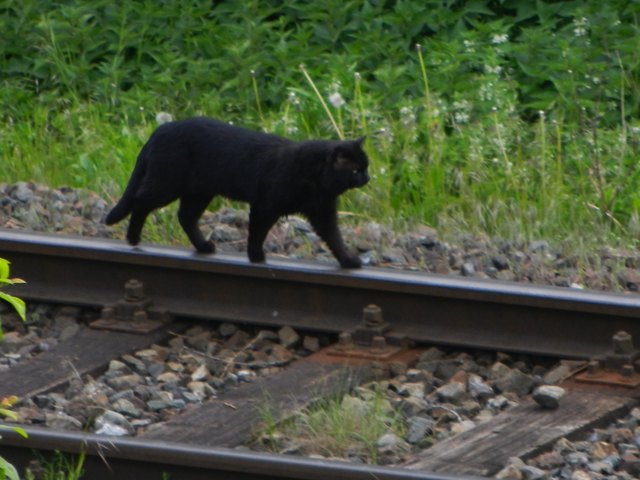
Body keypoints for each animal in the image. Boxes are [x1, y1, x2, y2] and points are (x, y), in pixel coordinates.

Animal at [106, 116, 370, 266]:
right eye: (356, 170)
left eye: (365, 166)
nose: (367, 178)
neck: (315, 179)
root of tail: (159, 130)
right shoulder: (265, 205)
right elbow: (257, 232)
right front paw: (256, 256)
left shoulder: (322, 212)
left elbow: (335, 238)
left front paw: (348, 260)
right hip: (167, 184)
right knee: (140, 201)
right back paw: (133, 238)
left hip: (198, 192)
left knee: (185, 216)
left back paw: (204, 246)